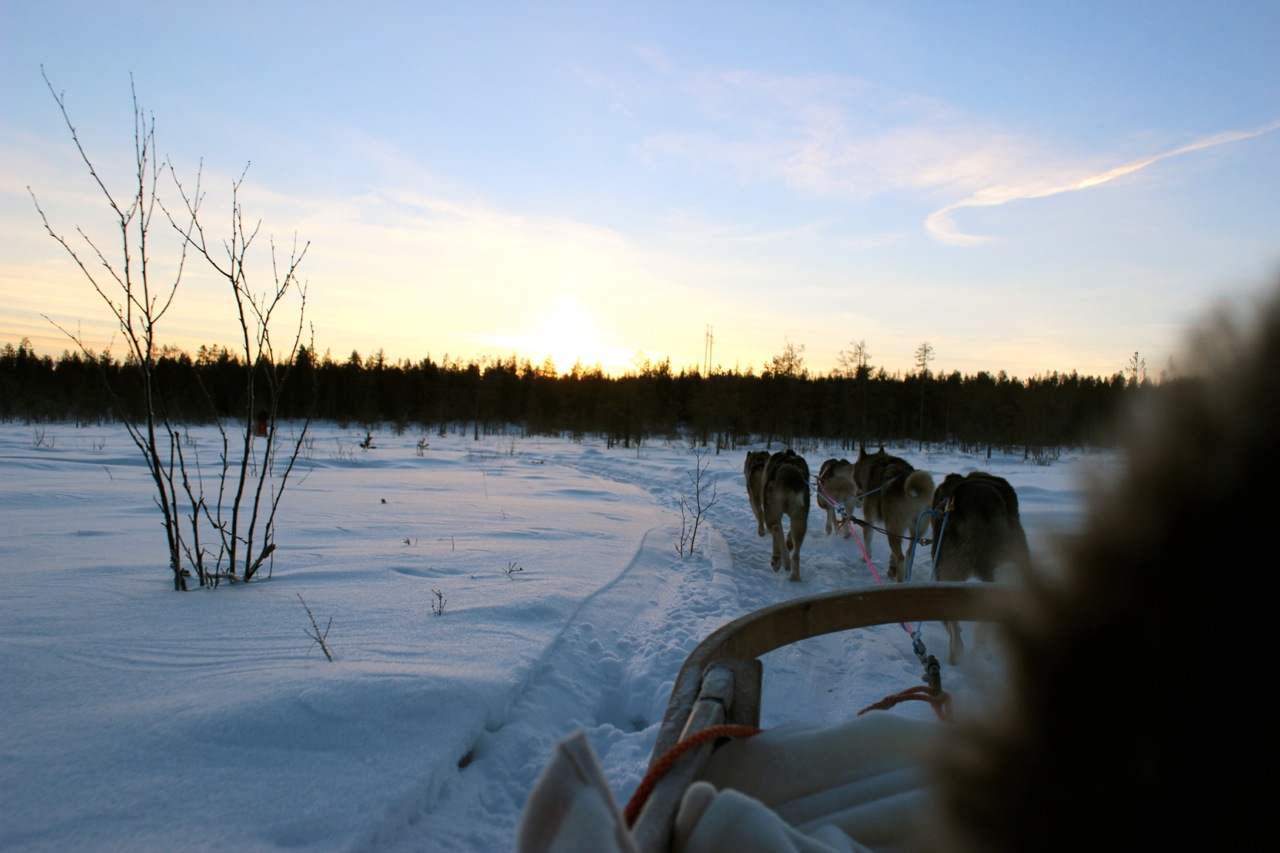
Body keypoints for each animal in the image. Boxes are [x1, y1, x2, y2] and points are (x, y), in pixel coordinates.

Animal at [762, 449, 810, 581]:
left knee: (776, 530)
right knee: (796, 554)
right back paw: (794, 577)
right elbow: (787, 537)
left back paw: (776, 559)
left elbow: (781, 538)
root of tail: (789, 468)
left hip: (771, 514)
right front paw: (789, 545)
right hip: (800, 518)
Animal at [851, 446, 935, 581]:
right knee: (908, 554)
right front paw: (891, 567)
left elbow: (867, 541)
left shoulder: (869, 519)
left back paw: (899, 579)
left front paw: (865, 558)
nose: (858, 495)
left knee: (901, 558)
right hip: (915, 531)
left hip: (892, 529)